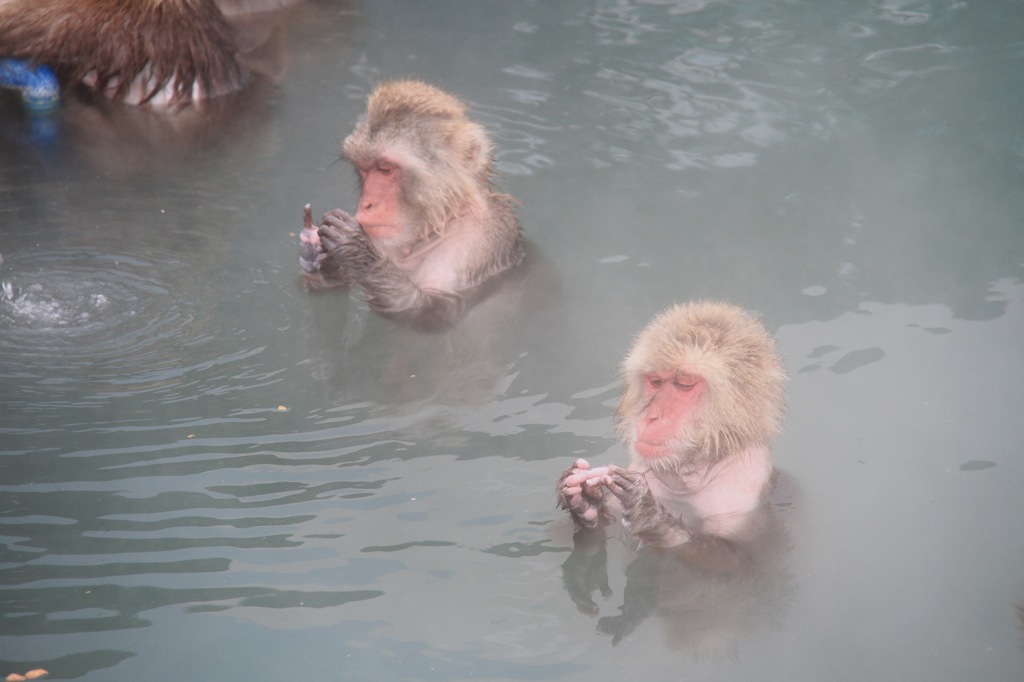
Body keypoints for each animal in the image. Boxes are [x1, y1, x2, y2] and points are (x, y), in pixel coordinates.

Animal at [296, 78, 520, 323]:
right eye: (363, 169)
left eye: (385, 168)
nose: (367, 204)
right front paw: (320, 256)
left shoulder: (478, 240)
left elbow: (437, 310)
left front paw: (357, 250)